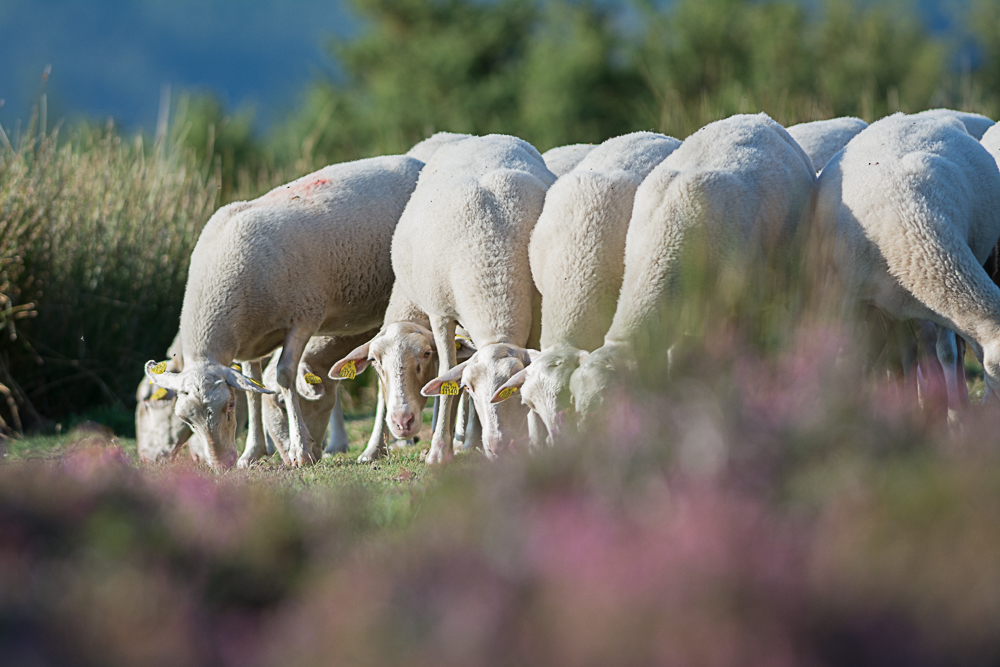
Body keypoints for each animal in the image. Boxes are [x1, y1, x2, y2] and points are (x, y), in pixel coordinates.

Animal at [143, 156, 424, 470]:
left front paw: (300, 451)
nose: (221, 463)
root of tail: (413, 160)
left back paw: (377, 448)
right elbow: (252, 390)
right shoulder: (249, 344)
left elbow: (284, 377)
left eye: (229, 406)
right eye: (186, 420)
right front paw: (251, 453)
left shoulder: (303, 318)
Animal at [390, 133, 556, 462]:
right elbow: (445, 373)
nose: (498, 446)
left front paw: (536, 442)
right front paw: (439, 452)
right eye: (468, 388)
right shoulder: (440, 313)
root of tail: (477, 137)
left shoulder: (536, 309)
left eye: (513, 389)